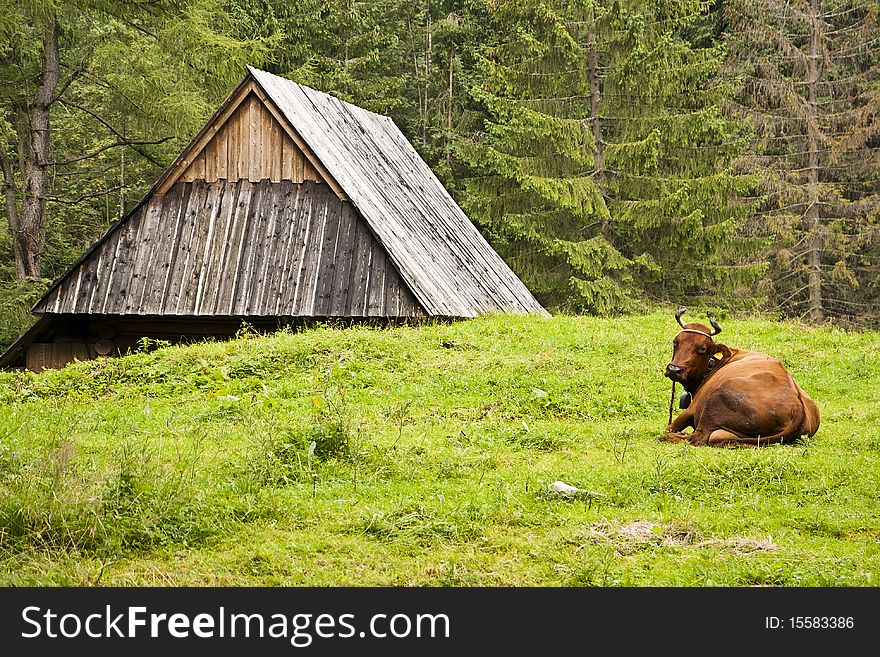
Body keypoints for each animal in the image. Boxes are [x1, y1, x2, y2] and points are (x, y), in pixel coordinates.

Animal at [660, 308, 820, 446]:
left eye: (703, 349)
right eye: (675, 342)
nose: (674, 370)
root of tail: (798, 407)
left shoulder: (691, 409)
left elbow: (669, 426)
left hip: (717, 397)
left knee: (696, 437)